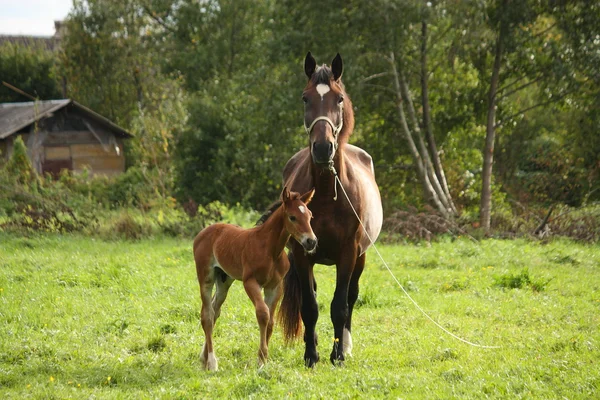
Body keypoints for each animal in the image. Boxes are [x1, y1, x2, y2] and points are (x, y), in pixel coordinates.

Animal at [195, 186, 318, 370]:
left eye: (310, 216)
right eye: (293, 217)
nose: (311, 242)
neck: (270, 249)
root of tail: (203, 232)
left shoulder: (275, 286)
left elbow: (271, 321)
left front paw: (263, 360)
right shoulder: (250, 282)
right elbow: (263, 314)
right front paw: (261, 358)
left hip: (224, 280)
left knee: (215, 310)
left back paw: (203, 359)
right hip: (206, 278)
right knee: (207, 315)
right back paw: (212, 362)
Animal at [278, 51, 382, 368]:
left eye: (338, 99)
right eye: (305, 98)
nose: (323, 148)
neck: (326, 191)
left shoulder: (348, 254)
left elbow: (340, 305)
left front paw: (338, 355)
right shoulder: (302, 254)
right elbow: (310, 307)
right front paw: (311, 354)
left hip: (361, 258)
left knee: (351, 297)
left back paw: (345, 344)